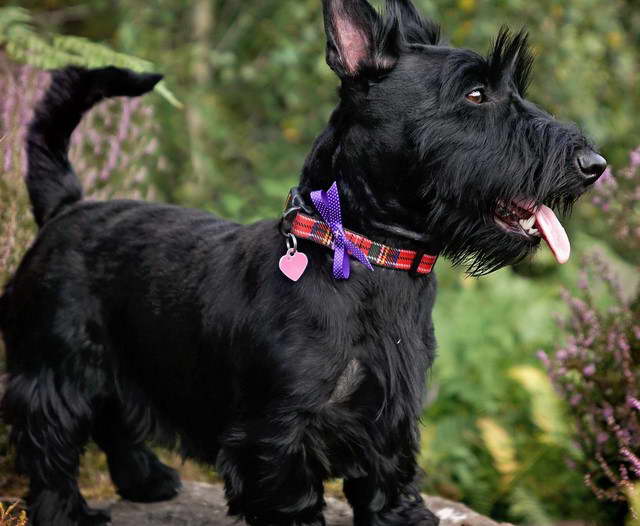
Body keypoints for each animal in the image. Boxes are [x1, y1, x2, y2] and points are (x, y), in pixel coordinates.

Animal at [1, 1, 604, 526]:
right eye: (476, 94)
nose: (594, 164)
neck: (368, 256)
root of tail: (67, 207)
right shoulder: (276, 440)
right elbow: (293, 501)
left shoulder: (389, 424)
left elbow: (390, 489)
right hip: (55, 368)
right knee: (50, 446)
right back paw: (68, 512)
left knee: (113, 418)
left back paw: (146, 480)